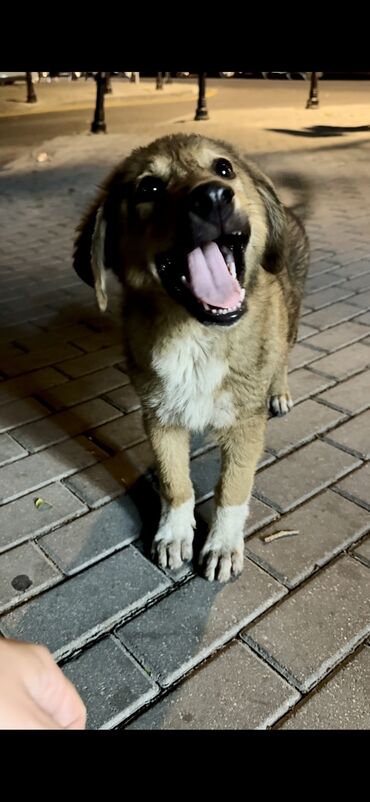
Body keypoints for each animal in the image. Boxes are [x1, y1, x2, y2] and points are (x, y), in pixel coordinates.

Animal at [73, 134, 310, 580]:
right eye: (148, 187)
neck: (196, 336)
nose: (214, 197)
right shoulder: (159, 415)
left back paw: (280, 391)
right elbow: (175, 481)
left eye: (224, 168)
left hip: (291, 316)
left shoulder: (245, 423)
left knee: (282, 354)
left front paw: (222, 545)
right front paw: (174, 533)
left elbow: (233, 488)